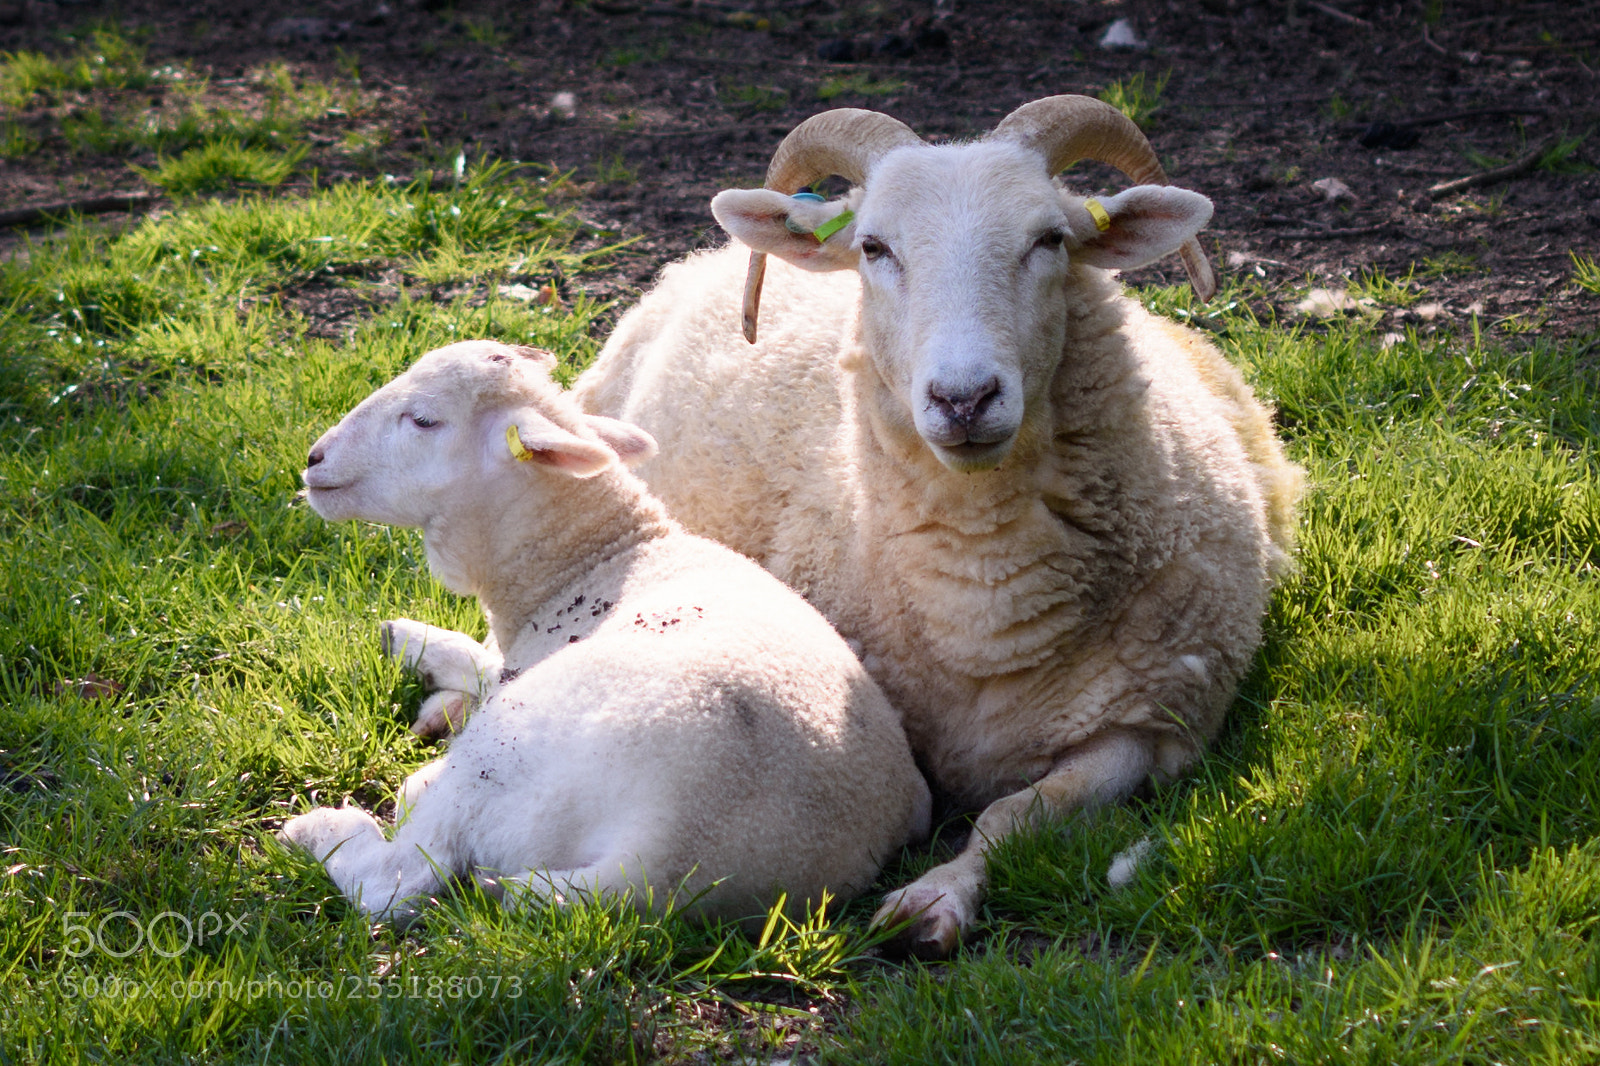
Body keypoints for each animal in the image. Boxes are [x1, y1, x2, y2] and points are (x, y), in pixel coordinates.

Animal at [280, 340, 932, 925]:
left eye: (423, 420)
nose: (313, 458)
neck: (596, 557)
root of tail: (661, 864)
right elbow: (481, 660)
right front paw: (411, 639)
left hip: (508, 750)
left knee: (400, 877)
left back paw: (324, 827)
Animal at [572, 96, 1303, 956]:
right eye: (873, 247)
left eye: (1051, 239)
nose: (963, 398)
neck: (985, 593)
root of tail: (693, 263)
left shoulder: (1148, 727)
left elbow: (1019, 811)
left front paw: (936, 897)